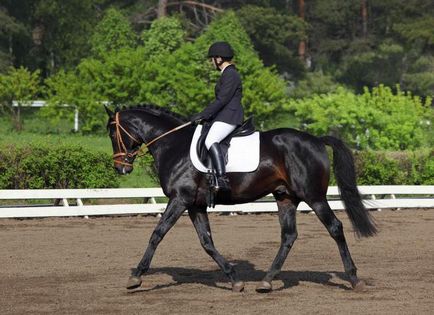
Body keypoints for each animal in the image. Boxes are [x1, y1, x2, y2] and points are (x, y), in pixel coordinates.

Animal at [104, 104, 376, 294]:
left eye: (112, 133)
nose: (121, 168)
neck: (173, 145)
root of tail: (317, 139)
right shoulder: (195, 205)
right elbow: (206, 242)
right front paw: (234, 279)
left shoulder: (179, 199)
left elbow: (157, 234)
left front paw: (136, 277)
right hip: (286, 197)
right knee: (289, 236)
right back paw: (267, 281)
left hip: (314, 196)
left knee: (335, 227)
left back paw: (354, 279)